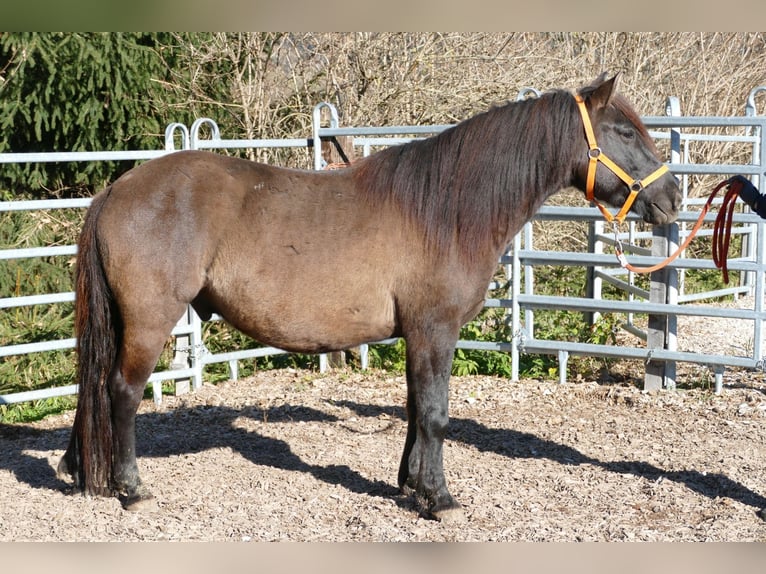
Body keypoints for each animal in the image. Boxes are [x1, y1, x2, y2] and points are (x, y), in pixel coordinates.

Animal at [60, 72, 684, 520]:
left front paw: (410, 485)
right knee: (121, 392)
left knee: (93, 387)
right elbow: (435, 414)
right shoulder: (435, 330)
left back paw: (81, 471)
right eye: (624, 132)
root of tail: (116, 190)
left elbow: (414, 408)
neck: (445, 210)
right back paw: (131, 489)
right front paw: (440, 499)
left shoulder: (416, 335)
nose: (674, 198)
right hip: (148, 322)